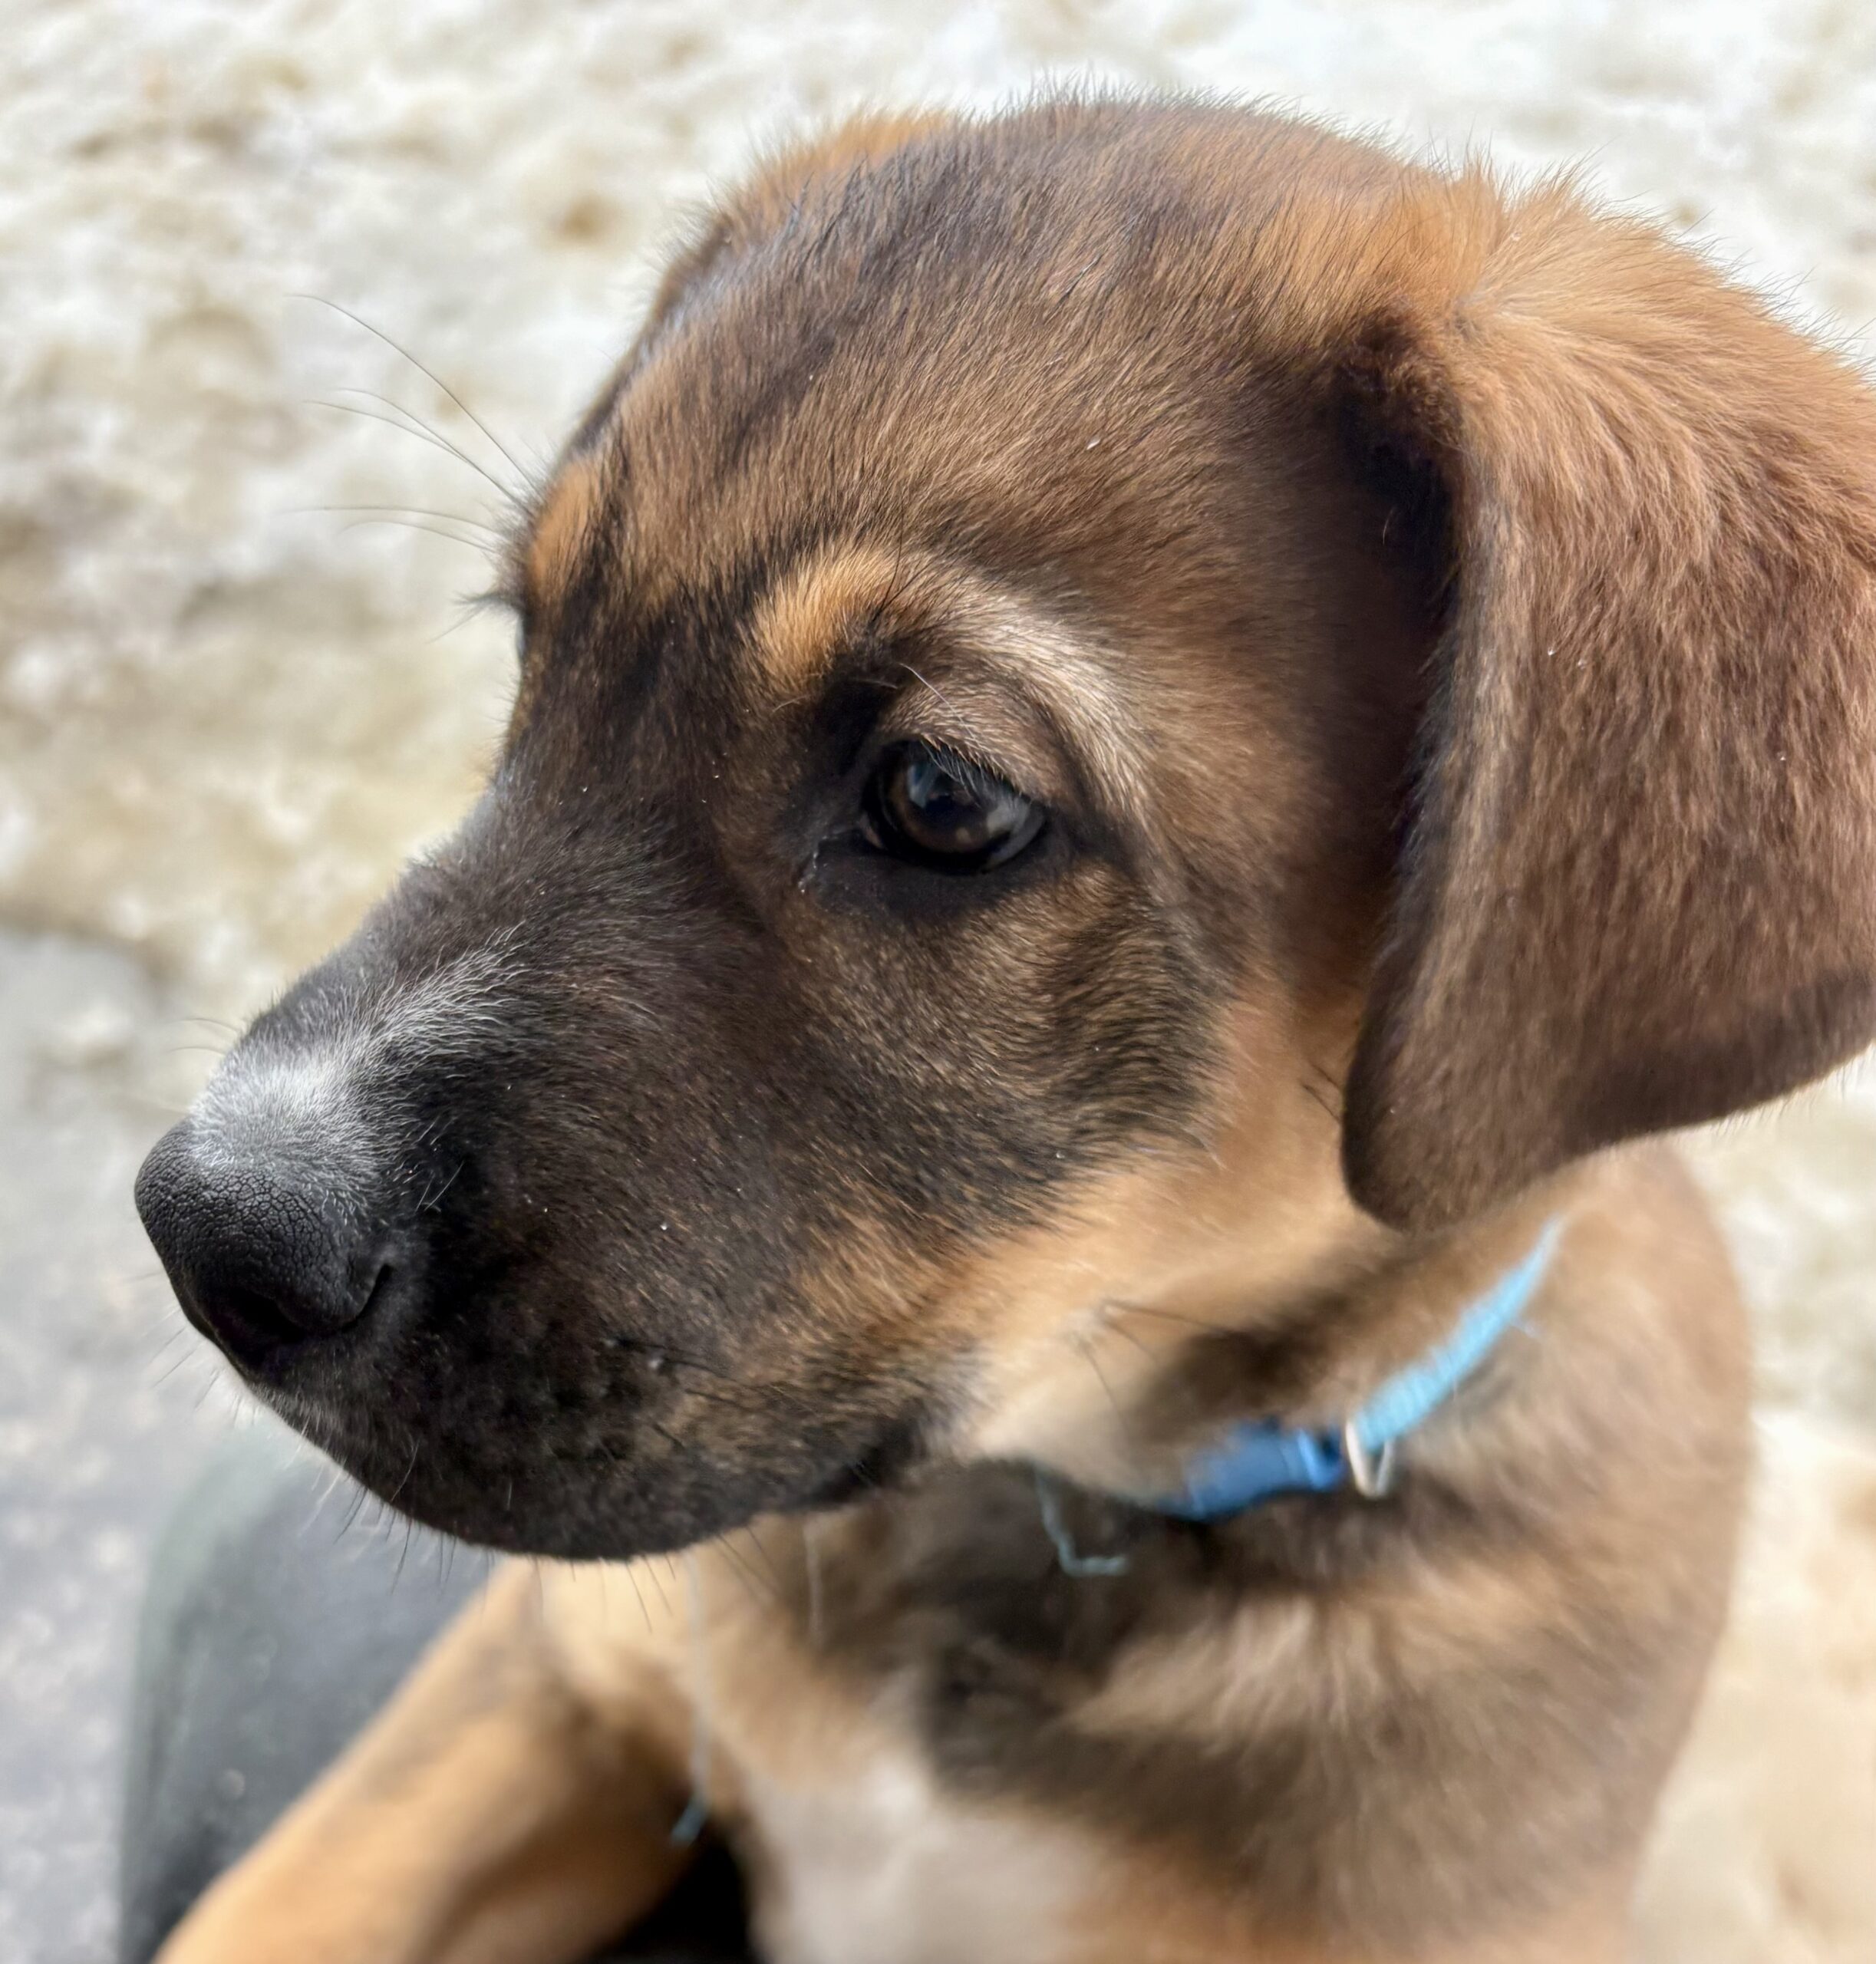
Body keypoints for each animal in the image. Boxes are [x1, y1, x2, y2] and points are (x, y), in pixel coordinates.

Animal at [134, 95, 1876, 1964]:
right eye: (536, 651)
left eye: (942, 796)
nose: (205, 1235)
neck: (1044, 1518)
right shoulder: (546, 1688)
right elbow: (254, 1913)